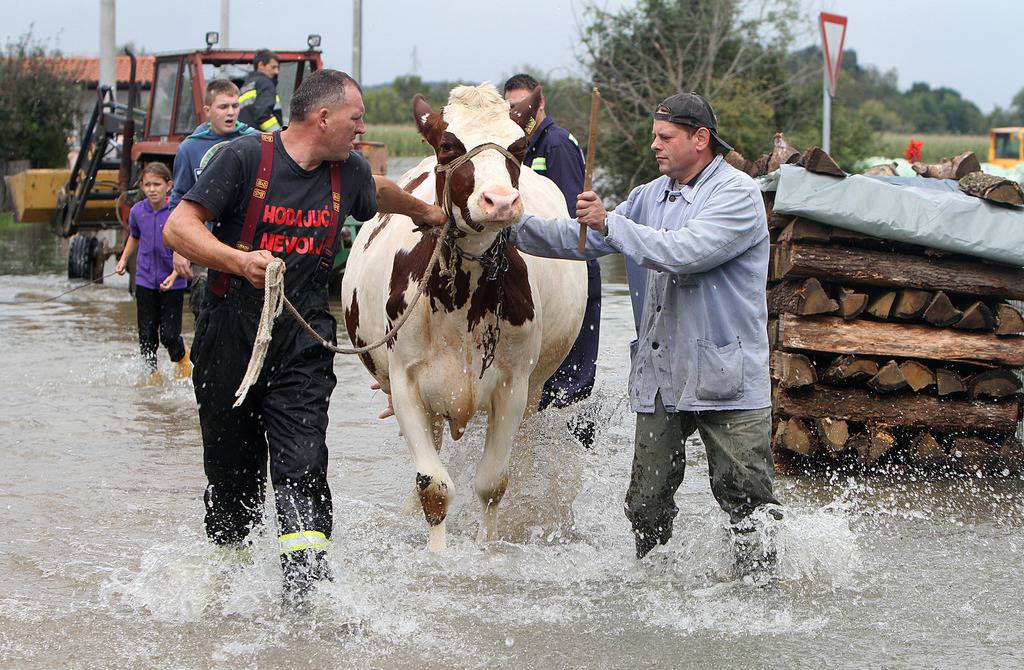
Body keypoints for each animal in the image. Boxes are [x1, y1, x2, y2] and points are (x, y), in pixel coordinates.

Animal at [342, 84, 589, 553]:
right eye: (447, 145)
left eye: (519, 147)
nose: (501, 201)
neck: (461, 301)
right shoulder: (405, 384)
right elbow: (434, 486)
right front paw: (437, 556)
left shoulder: (513, 385)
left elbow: (492, 483)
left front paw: (487, 548)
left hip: (536, 388)